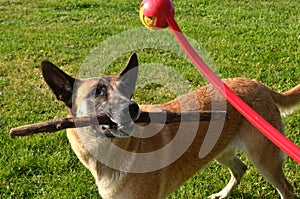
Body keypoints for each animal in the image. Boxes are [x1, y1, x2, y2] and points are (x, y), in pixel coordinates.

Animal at [41, 53, 298, 199]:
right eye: (98, 92)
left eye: (126, 90)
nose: (133, 108)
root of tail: (260, 85)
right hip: (220, 151)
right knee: (240, 169)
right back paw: (223, 195)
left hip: (265, 159)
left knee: (286, 189)